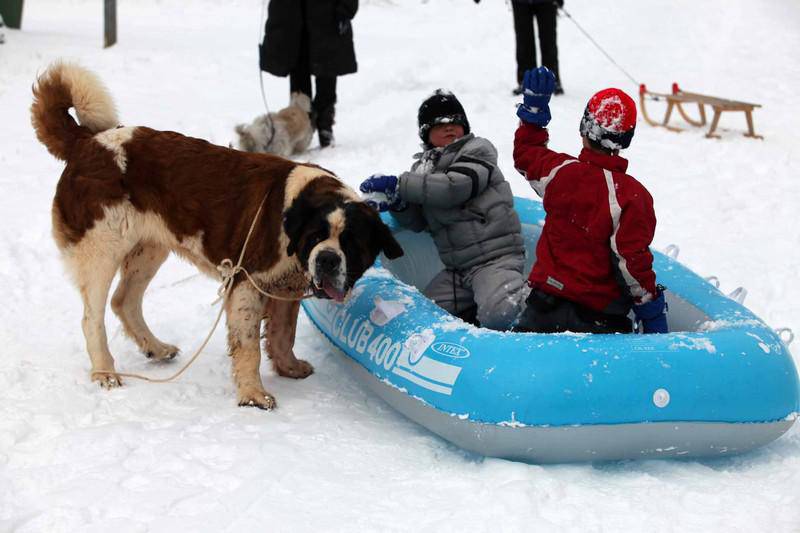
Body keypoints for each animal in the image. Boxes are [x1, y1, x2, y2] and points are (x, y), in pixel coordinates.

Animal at [31, 63, 404, 412]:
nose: (327, 259)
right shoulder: (247, 282)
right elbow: (249, 345)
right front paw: (253, 395)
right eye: (316, 237)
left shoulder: (286, 286)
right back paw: (105, 372)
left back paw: (156, 347)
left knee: (124, 300)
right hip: (102, 248)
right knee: (92, 317)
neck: (296, 212)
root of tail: (86, 141)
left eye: (352, 244)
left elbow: (284, 333)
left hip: (149, 248)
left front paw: (289, 367)